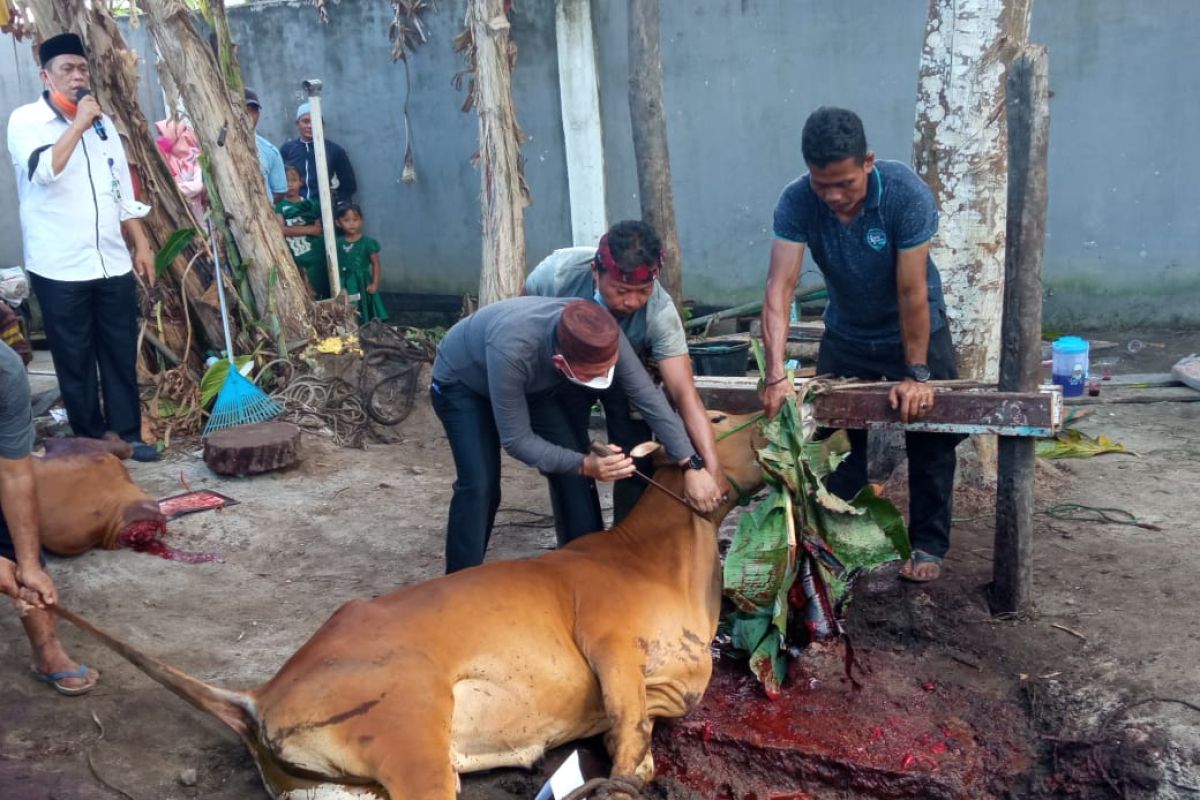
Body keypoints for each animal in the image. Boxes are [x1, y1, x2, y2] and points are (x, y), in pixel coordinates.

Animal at [56, 412, 763, 800]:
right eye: (716, 420)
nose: (780, 403)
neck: (664, 560)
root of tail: (262, 694)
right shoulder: (609, 642)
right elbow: (627, 738)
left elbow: (639, 750)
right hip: (409, 737)